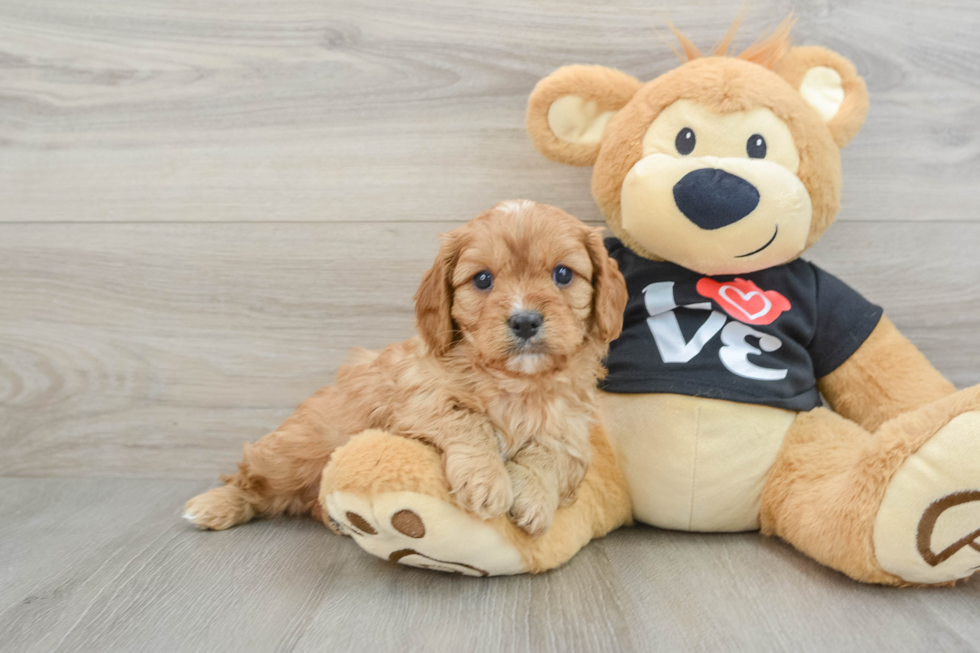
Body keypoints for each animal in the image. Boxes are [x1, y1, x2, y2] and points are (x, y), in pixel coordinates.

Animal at [185, 199, 628, 536]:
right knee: (251, 481)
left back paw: (335, 518)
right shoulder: (415, 402)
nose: (524, 321)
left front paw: (535, 500)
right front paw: (487, 481)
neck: (517, 383)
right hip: (292, 451)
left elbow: (549, 454)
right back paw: (213, 505)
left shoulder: (571, 431)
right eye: (483, 279)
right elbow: (468, 419)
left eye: (563, 274)